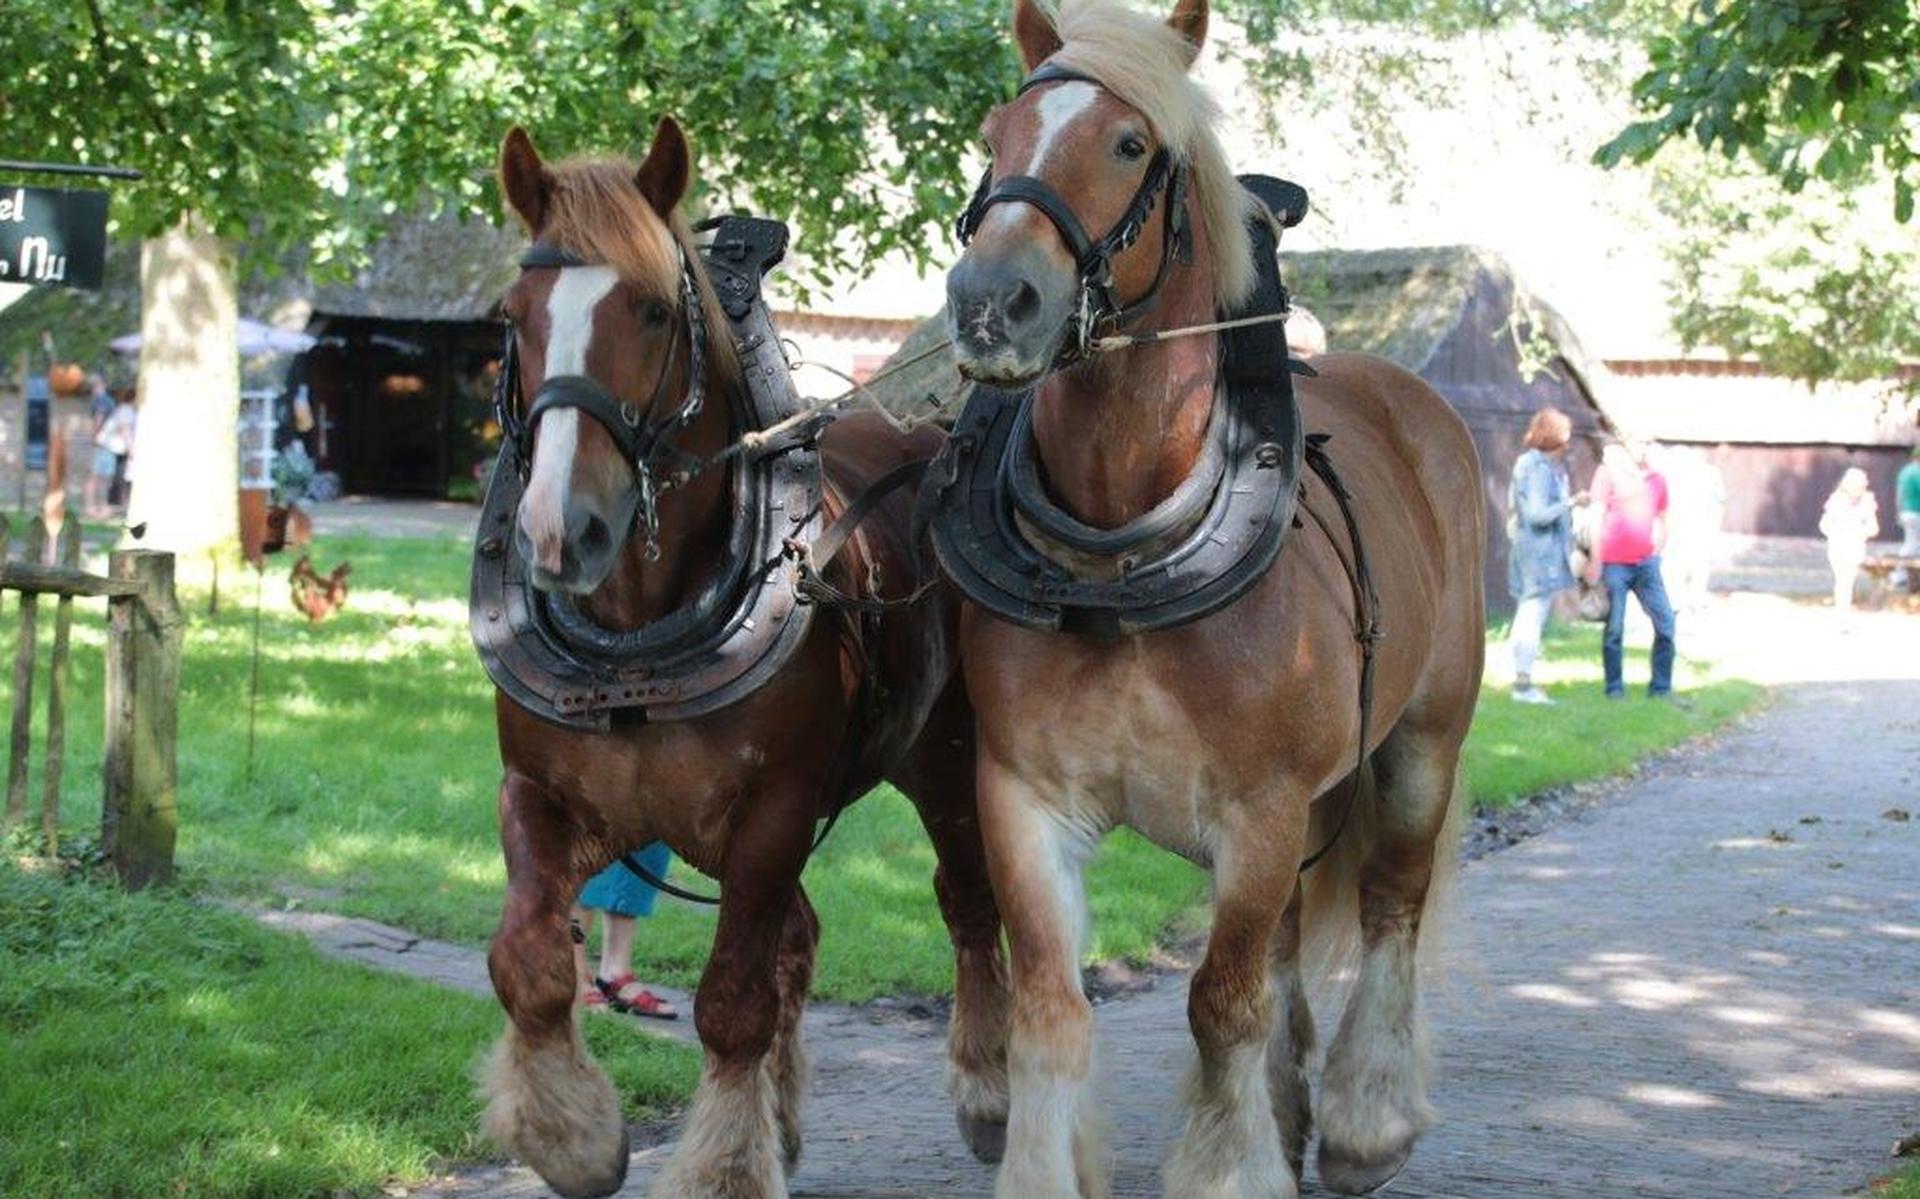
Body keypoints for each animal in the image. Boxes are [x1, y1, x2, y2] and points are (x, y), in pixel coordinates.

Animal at [477, 118, 1011, 1199]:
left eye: (649, 309)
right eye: (514, 316)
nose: (559, 529)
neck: (639, 639)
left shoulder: (773, 811)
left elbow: (731, 1002)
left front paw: (724, 1162)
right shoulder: (542, 794)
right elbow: (528, 962)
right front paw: (572, 1132)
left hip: (941, 760)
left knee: (966, 903)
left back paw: (984, 1088)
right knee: (799, 937)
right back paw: (788, 1115)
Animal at [938, 0, 1486, 1195]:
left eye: (1129, 143)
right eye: (998, 131)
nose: (991, 304)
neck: (1121, 554)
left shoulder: (1262, 809)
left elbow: (1219, 1006)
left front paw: (1234, 1164)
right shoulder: (1022, 798)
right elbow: (1053, 1008)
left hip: (1419, 744)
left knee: (1390, 904)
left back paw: (1366, 1118)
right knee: (1281, 947)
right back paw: (1289, 1108)